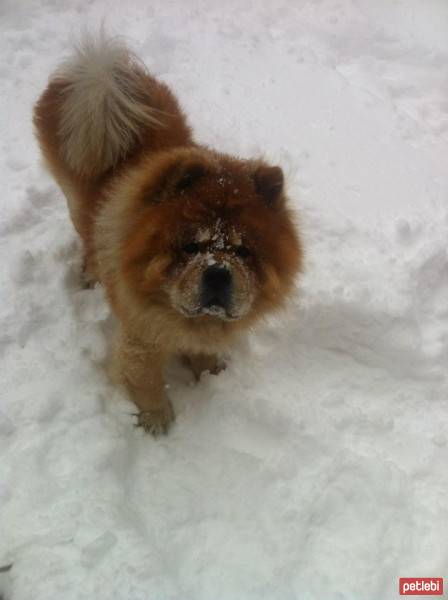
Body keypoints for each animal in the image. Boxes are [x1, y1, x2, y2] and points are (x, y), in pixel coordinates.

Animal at [33, 35, 302, 434]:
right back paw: (91, 276)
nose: (218, 272)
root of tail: (97, 73)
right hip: (75, 198)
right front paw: (155, 420)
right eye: (190, 246)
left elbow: (204, 356)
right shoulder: (140, 336)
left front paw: (211, 375)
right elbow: (144, 379)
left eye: (243, 251)